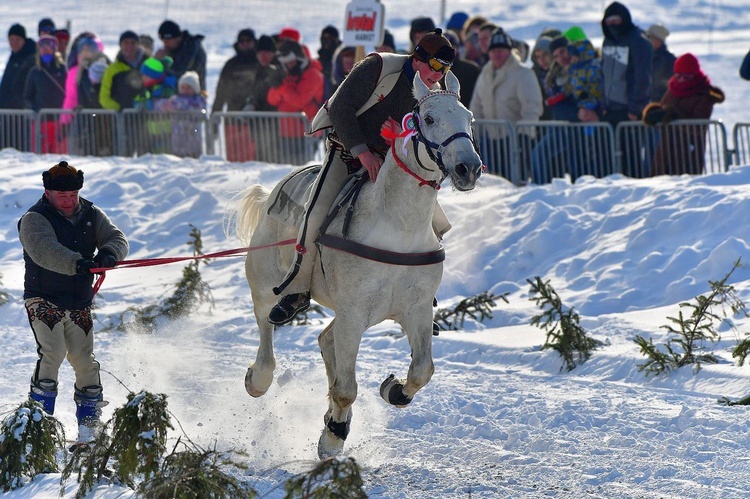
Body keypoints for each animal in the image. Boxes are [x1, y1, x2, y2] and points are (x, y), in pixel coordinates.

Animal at [236, 71, 482, 460]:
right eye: (428, 119)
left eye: (469, 119)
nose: (468, 168)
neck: (398, 226)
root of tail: (274, 191)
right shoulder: (353, 313)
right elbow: (346, 388)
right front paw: (332, 437)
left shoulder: (415, 311)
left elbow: (421, 371)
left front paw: (392, 390)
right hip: (263, 282)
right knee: (265, 325)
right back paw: (259, 378)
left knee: (326, 340)